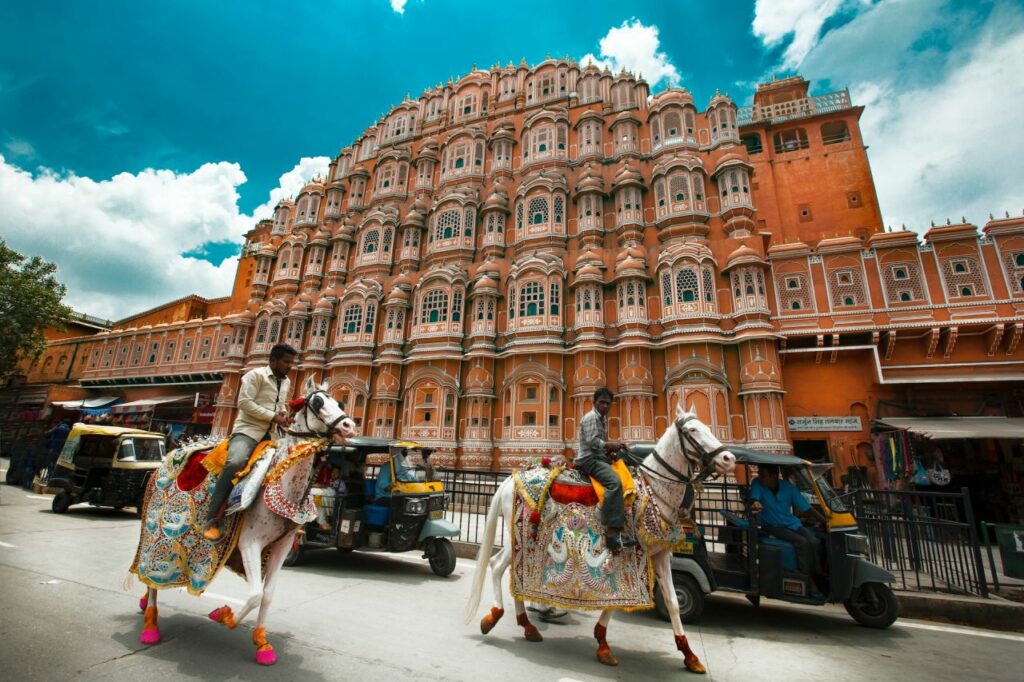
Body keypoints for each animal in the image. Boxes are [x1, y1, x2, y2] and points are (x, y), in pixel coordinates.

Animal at [130, 374, 358, 659]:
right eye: (317, 402)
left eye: (340, 402)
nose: (349, 426)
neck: (284, 485)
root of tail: (170, 455)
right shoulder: (249, 541)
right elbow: (254, 595)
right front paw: (224, 615)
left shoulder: (283, 544)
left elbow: (267, 594)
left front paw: (262, 643)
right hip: (156, 529)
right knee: (151, 574)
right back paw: (150, 624)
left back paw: (143, 605)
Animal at [464, 405, 737, 671]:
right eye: (692, 430)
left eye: (707, 427)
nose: (729, 458)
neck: (654, 491)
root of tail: (509, 479)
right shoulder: (628, 551)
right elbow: (618, 597)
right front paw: (603, 644)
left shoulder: (659, 553)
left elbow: (671, 601)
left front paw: (689, 655)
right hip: (520, 536)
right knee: (497, 566)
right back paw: (495, 617)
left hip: (518, 538)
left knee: (504, 567)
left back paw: (526, 625)